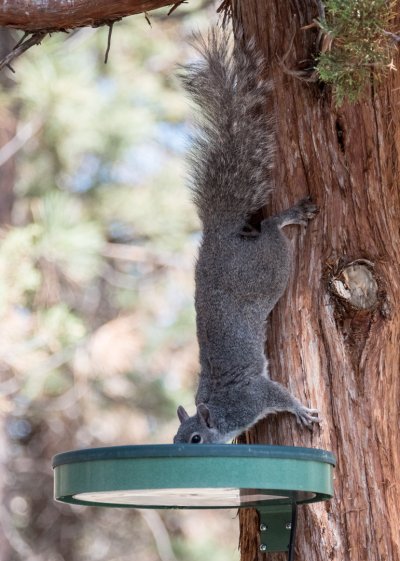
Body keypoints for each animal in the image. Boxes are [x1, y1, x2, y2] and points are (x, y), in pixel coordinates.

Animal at [173, 29, 320, 446]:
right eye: (174, 440)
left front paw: (302, 411)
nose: (178, 451)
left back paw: (288, 217)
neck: (219, 411)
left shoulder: (252, 397)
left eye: (195, 439)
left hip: (269, 271)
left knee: (269, 229)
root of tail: (216, 238)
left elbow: (279, 394)